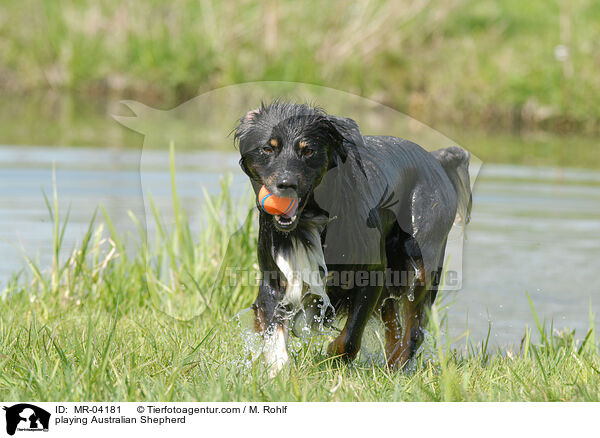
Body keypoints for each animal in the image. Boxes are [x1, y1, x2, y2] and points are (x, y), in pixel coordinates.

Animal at [236, 100, 474, 372]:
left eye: (308, 151)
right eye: (267, 149)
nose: (285, 184)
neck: (310, 219)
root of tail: (435, 159)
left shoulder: (372, 274)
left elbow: (350, 338)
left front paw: (332, 355)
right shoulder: (273, 275)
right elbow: (272, 329)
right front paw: (279, 370)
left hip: (420, 258)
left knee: (413, 330)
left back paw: (398, 368)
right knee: (394, 324)